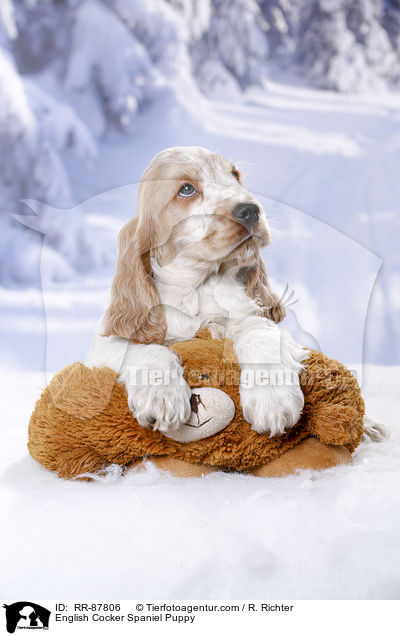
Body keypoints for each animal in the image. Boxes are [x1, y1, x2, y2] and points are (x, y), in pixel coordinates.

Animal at [84, 146, 306, 438]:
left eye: (235, 176)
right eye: (186, 189)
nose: (251, 210)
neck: (199, 287)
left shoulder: (250, 316)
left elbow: (260, 333)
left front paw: (274, 399)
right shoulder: (104, 344)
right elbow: (143, 348)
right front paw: (161, 396)